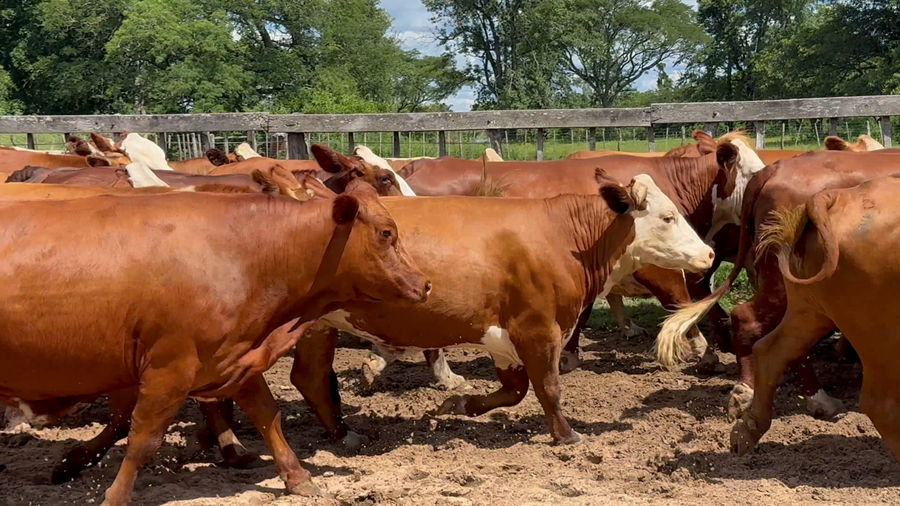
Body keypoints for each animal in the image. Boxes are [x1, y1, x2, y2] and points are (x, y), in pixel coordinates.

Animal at [0, 180, 430, 504]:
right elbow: (142, 440)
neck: (246, 252)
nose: (424, 283)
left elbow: (266, 414)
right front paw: (114, 497)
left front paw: (298, 477)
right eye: (386, 233)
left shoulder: (232, 357)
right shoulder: (170, 367)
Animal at [729, 175, 900, 461]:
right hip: (876, 329)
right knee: (880, 403)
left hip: (809, 310)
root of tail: (837, 198)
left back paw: (747, 431)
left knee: (770, 350)